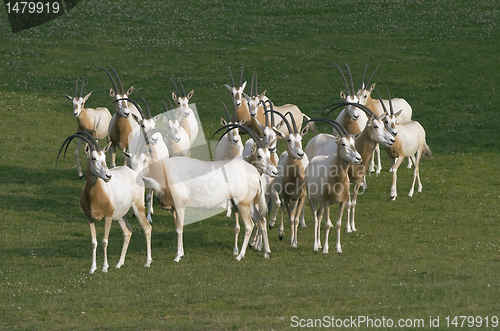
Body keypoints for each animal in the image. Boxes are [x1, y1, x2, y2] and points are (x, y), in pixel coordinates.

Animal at [56, 131, 151, 274]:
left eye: (105, 158)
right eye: (93, 158)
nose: (108, 176)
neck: (95, 195)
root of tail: (134, 173)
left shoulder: (108, 216)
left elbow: (105, 241)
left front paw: (105, 267)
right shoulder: (89, 218)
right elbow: (94, 242)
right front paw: (92, 268)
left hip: (137, 208)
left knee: (147, 228)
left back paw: (147, 262)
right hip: (120, 215)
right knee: (127, 232)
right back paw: (119, 263)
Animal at [302, 121, 362, 254]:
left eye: (354, 143)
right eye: (343, 144)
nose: (358, 158)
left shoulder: (342, 202)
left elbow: (338, 224)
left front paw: (338, 248)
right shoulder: (327, 202)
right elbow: (328, 224)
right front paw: (325, 249)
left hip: (321, 203)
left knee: (319, 216)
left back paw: (319, 244)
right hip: (313, 199)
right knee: (315, 218)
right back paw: (316, 246)